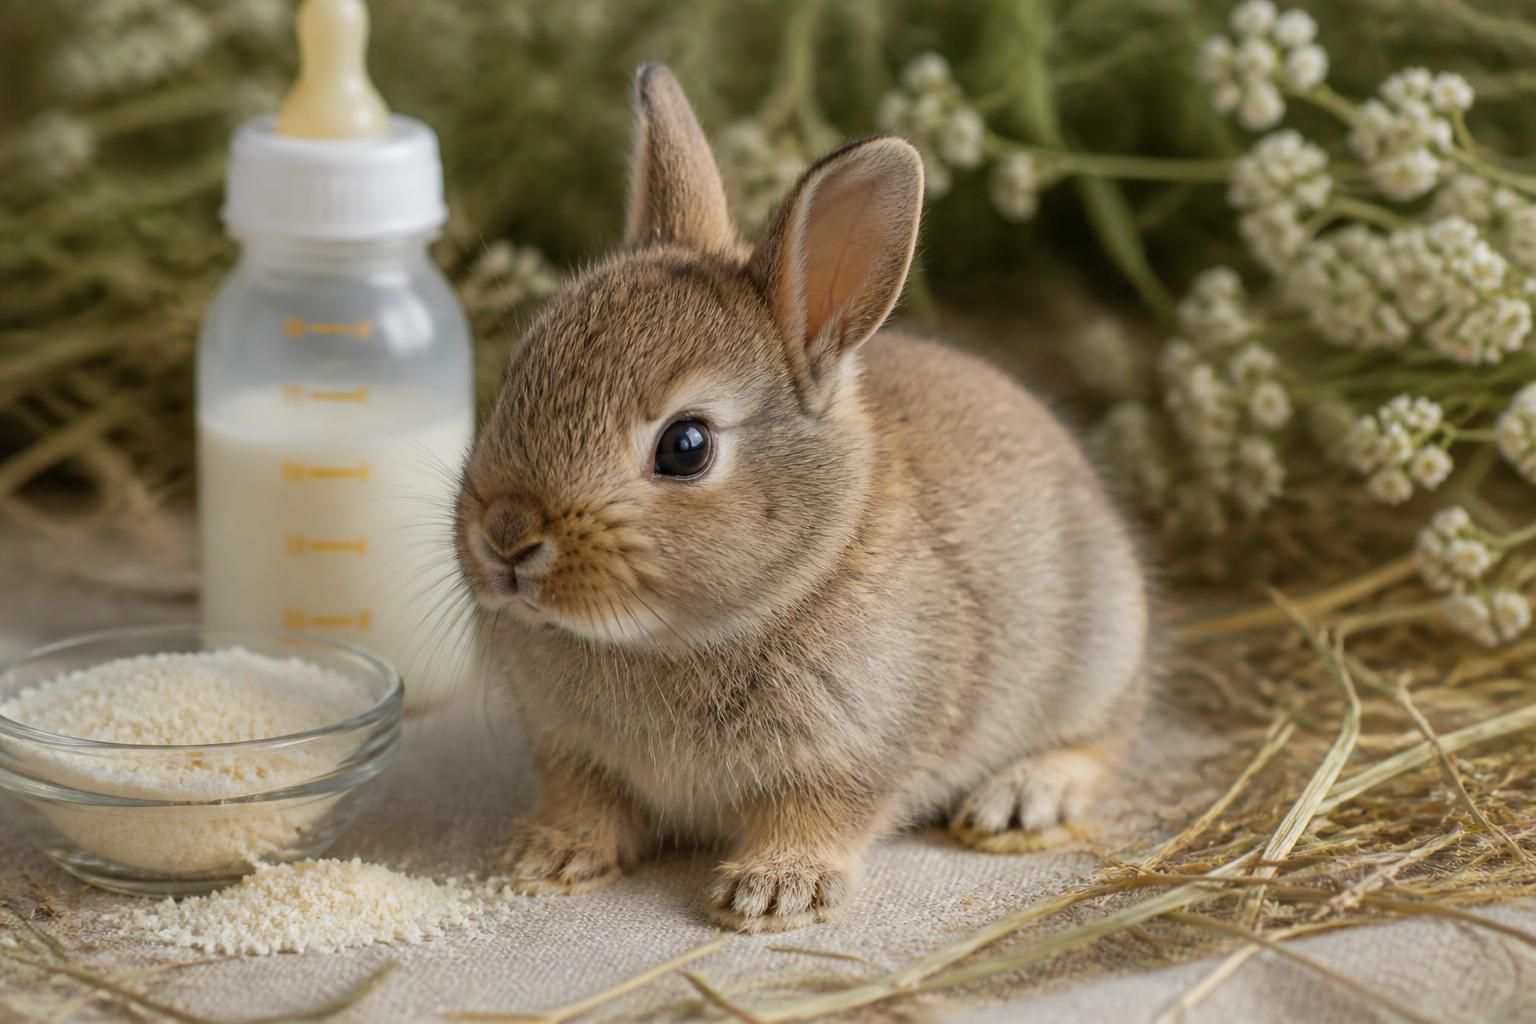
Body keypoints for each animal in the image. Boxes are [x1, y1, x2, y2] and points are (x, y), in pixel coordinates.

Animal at [453, 63, 1153, 933]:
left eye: (686, 446)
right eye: (516, 375)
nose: (506, 536)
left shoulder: (855, 749)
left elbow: (821, 811)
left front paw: (774, 889)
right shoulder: (569, 749)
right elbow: (586, 797)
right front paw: (547, 855)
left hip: (1097, 656)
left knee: (1106, 740)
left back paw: (1022, 798)